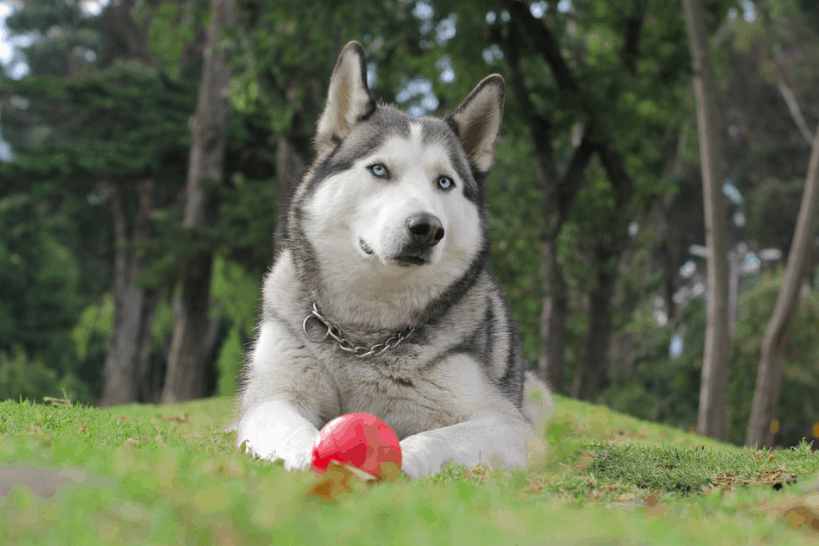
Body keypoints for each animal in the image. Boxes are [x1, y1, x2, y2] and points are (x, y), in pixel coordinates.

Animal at [237, 41, 556, 476]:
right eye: (379, 170)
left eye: (444, 182)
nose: (427, 228)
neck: (363, 337)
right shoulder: (270, 399)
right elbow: (296, 431)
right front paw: (319, 461)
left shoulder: (509, 426)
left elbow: (432, 439)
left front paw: (394, 466)